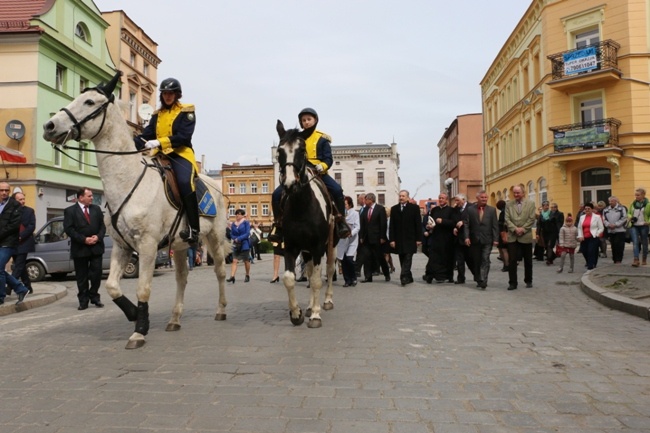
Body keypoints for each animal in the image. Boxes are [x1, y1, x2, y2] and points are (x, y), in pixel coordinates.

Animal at [41, 73, 228, 348]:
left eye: (89, 102)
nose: (49, 126)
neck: (127, 179)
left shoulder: (147, 245)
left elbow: (143, 288)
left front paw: (139, 330)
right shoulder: (122, 246)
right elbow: (111, 286)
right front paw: (134, 315)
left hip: (214, 236)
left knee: (220, 271)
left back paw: (221, 310)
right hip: (180, 245)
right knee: (182, 277)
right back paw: (174, 319)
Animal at [274, 120, 336, 326]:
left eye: (301, 150)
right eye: (280, 151)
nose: (290, 184)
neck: (302, 206)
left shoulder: (318, 247)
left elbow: (317, 280)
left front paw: (316, 315)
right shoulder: (291, 246)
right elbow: (289, 278)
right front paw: (297, 314)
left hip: (331, 244)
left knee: (330, 269)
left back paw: (326, 301)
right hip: (307, 251)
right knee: (309, 272)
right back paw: (309, 307)